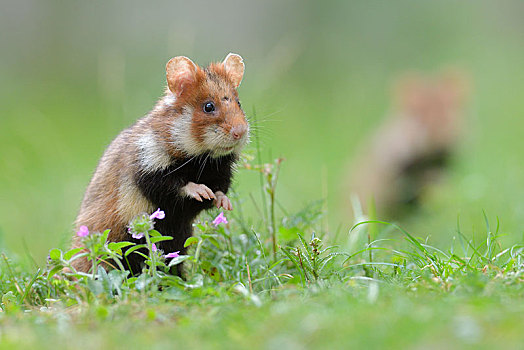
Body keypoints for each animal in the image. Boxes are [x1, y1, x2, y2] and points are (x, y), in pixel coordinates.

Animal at [71, 53, 250, 274]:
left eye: (239, 103)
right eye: (208, 106)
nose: (241, 132)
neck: (201, 158)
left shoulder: (221, 172)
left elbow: (219, 191)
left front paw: (224, 203)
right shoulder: (147, 169)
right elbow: (176, 185)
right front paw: (202, 191)